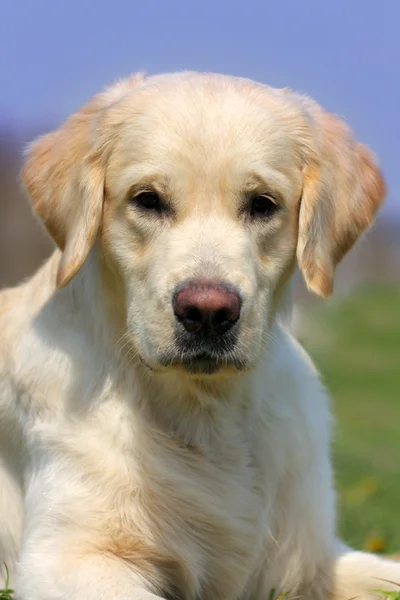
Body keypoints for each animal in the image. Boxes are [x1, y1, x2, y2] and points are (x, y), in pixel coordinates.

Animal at [0, 71, 398, 600]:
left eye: (263, 204)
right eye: (147, 199)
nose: (207, 312)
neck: (209, 411)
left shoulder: (313, 559)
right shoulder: (69, 556)